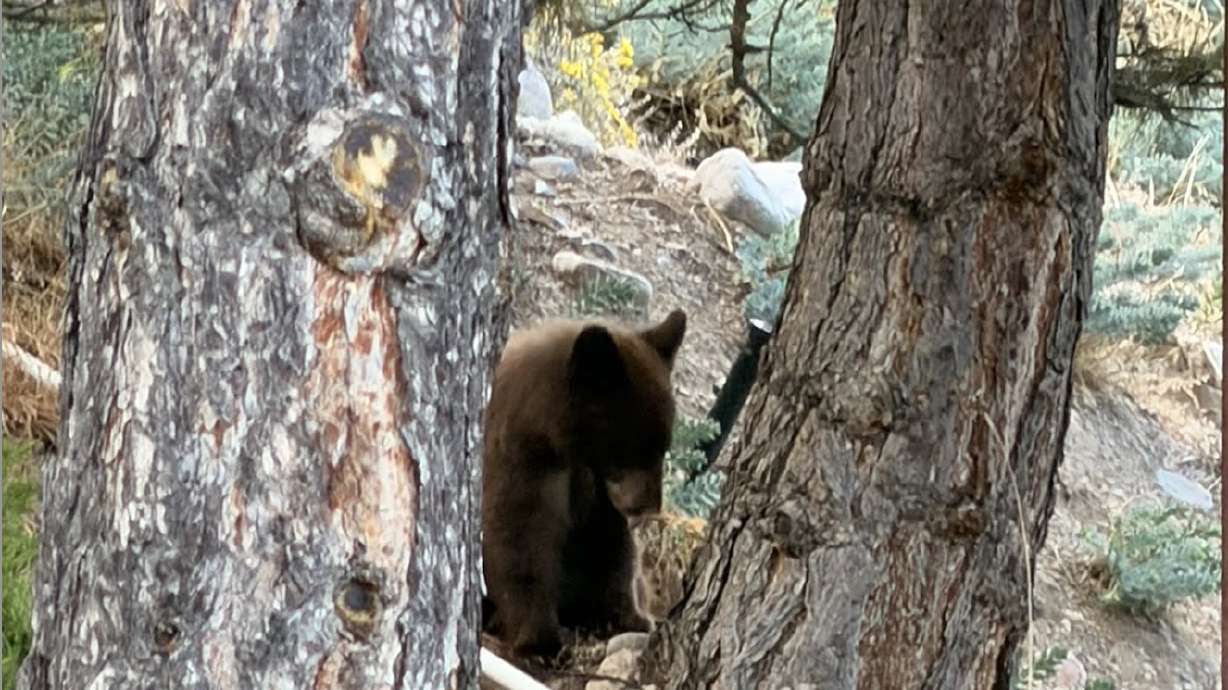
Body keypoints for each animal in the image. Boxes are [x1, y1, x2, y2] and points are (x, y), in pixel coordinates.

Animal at [480, 308, 688, 659]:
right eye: (634, 447)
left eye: (664, 447)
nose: (649, 508)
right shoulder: (520, 461)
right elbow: (516, 538)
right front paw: (540, 638)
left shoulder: (596, 487)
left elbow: (612, 544)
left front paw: (632, 617)